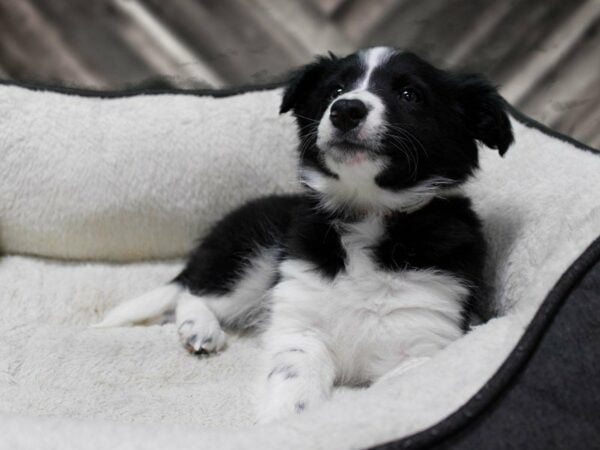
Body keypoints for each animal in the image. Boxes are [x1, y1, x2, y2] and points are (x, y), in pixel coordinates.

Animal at [97, 47, 510, 424]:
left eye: (410, 94)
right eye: (335, 89)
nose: (346, 109)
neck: (366, 213)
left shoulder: (429, 339)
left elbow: (403, 378)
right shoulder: (299, 323)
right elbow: (293, 377)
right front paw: (288, 421)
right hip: (253, 261)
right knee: (193, 293)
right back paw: (199, 329)